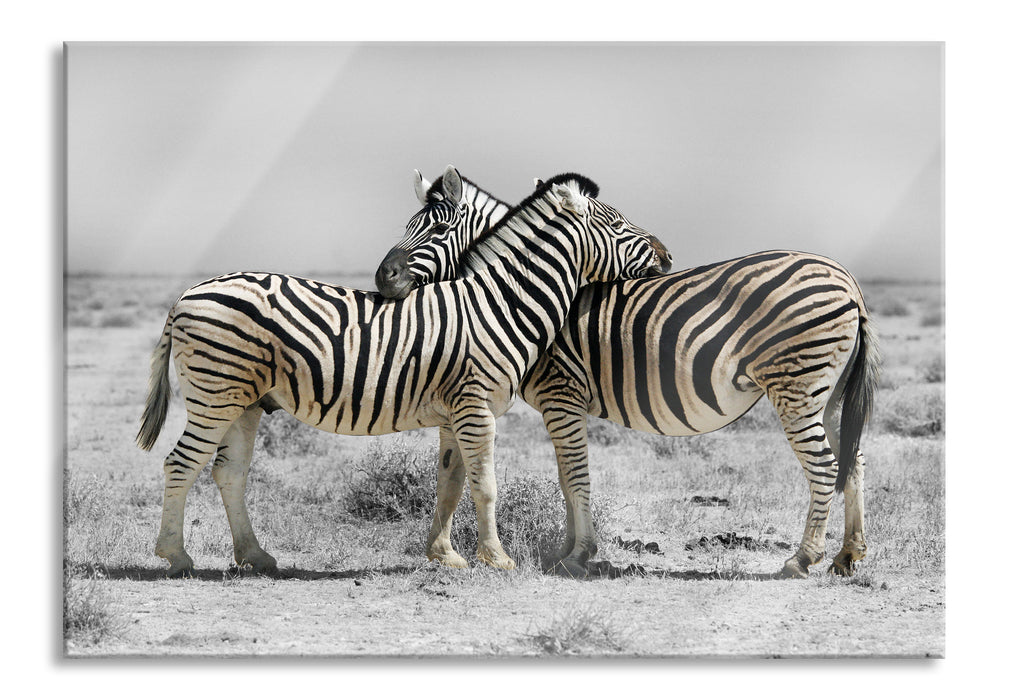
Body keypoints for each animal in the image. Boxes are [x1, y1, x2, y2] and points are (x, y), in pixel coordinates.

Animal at [137, 172, 671, 577]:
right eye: (617, 222)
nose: (667, 256)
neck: (500, 304)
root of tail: (186, 295)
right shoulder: (476, 408)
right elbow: (486, 485)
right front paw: (497, 559)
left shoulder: (455, 412)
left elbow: (450, 484)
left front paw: (446, 556)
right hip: (215, 393)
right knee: (180, 464)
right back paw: (176, 557)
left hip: (244, 401)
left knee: (228, 471)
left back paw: (255, 556)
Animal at [375, 166, 880, 580]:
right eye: (407, 226)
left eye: (438, 228)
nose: (383, 277)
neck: (516, 293)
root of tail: (848, 280)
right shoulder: (562, 403)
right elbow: (566, 477)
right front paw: (567, 550)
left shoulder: (562, 393)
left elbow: (575, 474)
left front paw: (578, 554)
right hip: (825, 391)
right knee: (851, 459)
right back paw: (847, 556)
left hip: (796, 386)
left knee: (824, 466)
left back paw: (803, 559)